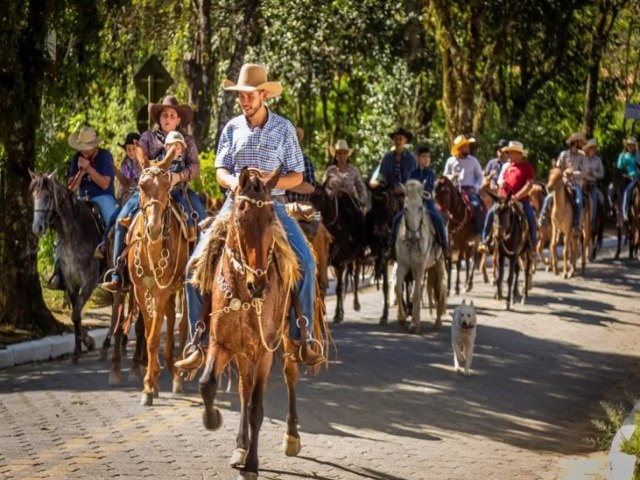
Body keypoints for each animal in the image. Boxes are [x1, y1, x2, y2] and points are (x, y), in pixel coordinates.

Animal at [31, 171, 101, 362]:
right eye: (33, 196)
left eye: (47, 196)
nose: (37, 228)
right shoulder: (70, 284)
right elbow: (75, 318)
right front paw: (79, 349)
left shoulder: (89, 283)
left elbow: (75, 314)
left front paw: (86, 342)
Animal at [198, 168, 328, 480]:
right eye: (240, 218)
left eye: (271, 219)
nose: (258, 284)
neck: (243, 294)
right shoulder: (221, 343)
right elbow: (208, 384)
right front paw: (213, 419)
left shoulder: (265, 350)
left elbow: (257, 407)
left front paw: (252, 465)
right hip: (244, 351)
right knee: (244, 389)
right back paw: (240, 446)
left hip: (289, 339)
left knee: (290, 375)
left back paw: (291, 437)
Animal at [312, 186, 362, 324]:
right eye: (311, 197)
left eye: (322, 198)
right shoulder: (326, 262)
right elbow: (322, 286)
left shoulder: (340, 264)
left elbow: (339, 288)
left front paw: (337, 315)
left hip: (356, 260)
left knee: (355, 279)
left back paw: (356, 304)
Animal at [364, 187, 400, 322]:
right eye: (373, 208)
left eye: (386, 209)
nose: (378, 232)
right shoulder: (383, 258)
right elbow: (385, 286)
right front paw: (384, 315)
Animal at [392, 180, 448, 334]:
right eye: (405, 209)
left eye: (420, 207)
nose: (414, 236)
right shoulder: (403, 266)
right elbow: (398, 288)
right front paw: (402, 317)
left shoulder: (419, 267)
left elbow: (416, 294)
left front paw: (414, 325)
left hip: (439, 264)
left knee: (441, 288)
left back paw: (438, 321)